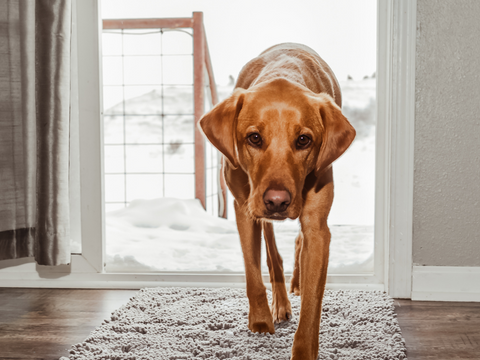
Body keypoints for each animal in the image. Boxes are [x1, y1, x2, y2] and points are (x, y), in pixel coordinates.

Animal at [199, 43, 356, 358]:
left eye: (304, 140)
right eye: (254, 138)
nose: (277, 201)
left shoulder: (318, 229)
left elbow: (312, 302)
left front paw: (304, 351)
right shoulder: (244, 210)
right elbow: (253, 272)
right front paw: (260, 321)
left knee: (296, 245)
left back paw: (295, 283)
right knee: (273, 255)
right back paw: (280, 302)